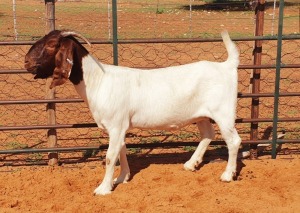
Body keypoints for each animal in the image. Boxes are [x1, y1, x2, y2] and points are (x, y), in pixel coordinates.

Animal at [24, 29, 243, 195]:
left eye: (52, 44)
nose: (26, 62)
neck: (99, 80)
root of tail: (227, 66)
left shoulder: (115, 124)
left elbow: (110, 156)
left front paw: (103, 188)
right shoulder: (120, 126)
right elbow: (121, 150)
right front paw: (121, 178)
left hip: (223, 112)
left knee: (233, 140)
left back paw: (227, 175)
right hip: (202, 115)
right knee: (208, 134)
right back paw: (191, 164)